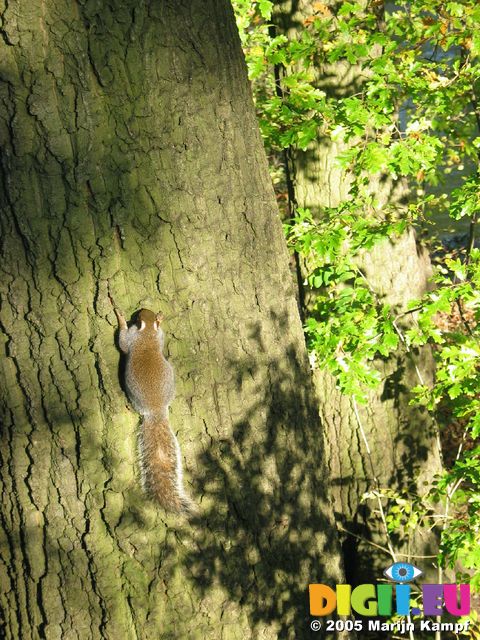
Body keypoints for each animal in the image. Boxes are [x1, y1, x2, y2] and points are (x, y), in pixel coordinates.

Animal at [113, 306, 194, 516]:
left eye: (138, 317)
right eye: (144, 313)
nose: (141, 309)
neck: (148, 332)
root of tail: (157, 411)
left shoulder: (131, 338)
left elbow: (122, 342)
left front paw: (120, 318)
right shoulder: (158, 336)